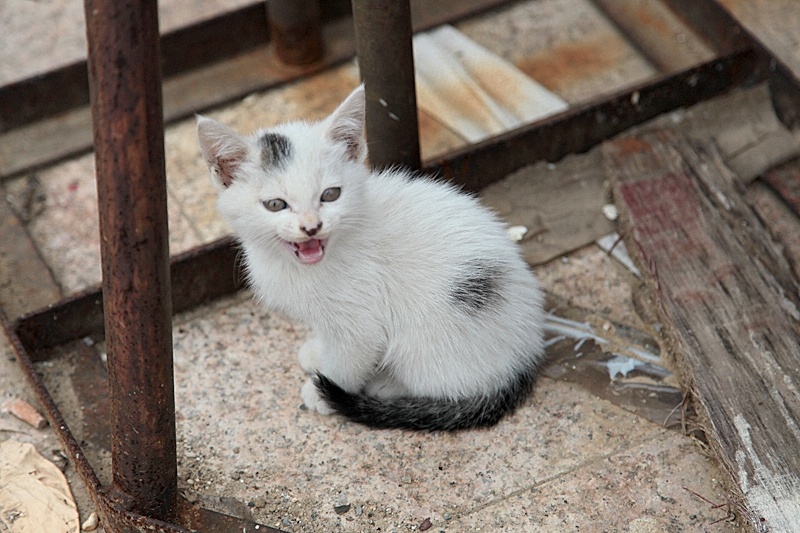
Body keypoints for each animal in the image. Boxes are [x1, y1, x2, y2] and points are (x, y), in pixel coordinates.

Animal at [197, 85, 548, 430]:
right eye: (275, 205)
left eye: (330, 195)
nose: (311, 227)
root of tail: (525, 356)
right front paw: (318, 352)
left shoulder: (361, 318)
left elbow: (352, 355)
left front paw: (323, 390)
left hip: (429, 338)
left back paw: (388, 386)